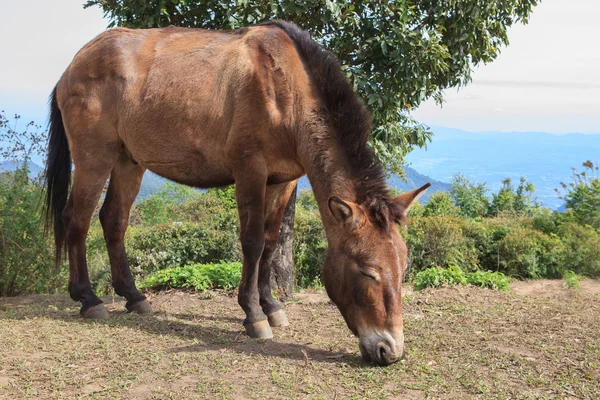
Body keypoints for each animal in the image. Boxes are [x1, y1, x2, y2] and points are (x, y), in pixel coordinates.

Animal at [45, 21, 426, 366]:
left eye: (403, 268)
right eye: (367, 271)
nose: (389, 350)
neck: (283, 88)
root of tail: (72, 67)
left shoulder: (284, 180)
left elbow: (271, 244)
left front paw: (271, 307)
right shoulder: (250, 171)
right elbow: (253, 242)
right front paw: (253, 315)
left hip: (128, 161)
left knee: (114, 221)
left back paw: (134, 297)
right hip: (95, 158)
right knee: (76, 220)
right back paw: (88, 299)